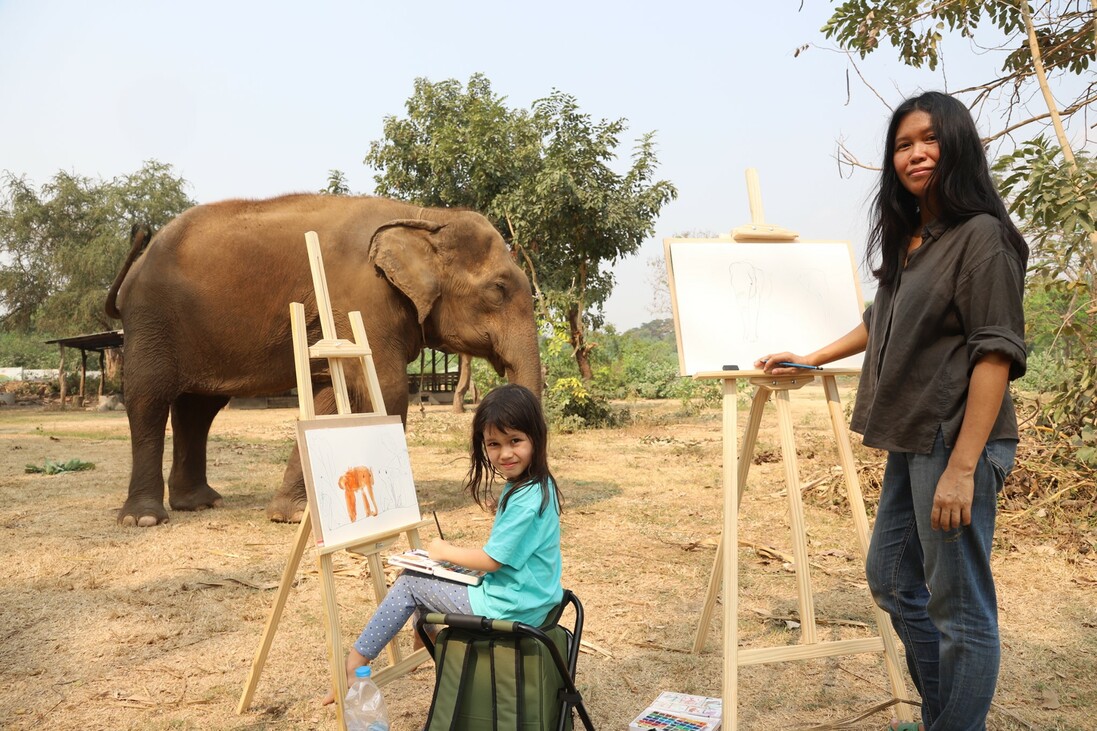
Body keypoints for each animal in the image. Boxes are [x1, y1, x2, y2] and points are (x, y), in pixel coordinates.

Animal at [104, 192, 541, 524]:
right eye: (498, 290)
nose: (493, 502)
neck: (424, 216)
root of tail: (136, 265)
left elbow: (335, 390)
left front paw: (292, 513)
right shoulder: (358, 299)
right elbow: (384, 388)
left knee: (198, 409)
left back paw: (199, 503)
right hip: (152, 319)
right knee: (149, 399)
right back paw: (144, 518)